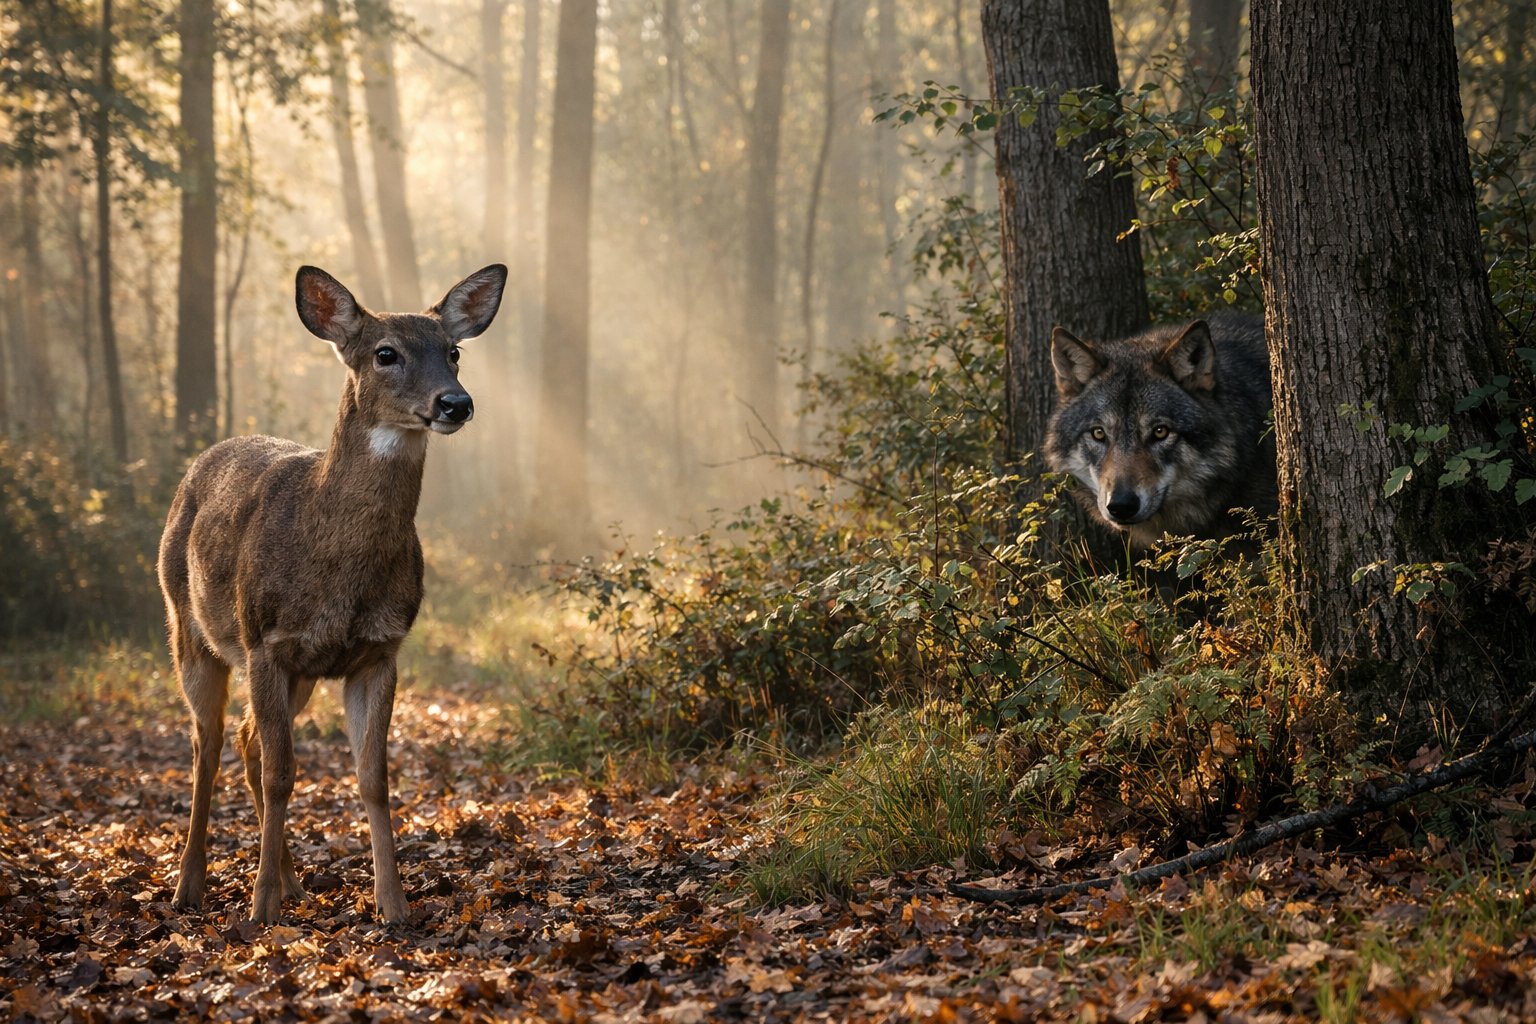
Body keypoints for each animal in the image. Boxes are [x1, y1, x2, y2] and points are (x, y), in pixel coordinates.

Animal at [158, 263, 506, 923]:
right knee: (206, 744)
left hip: (298, 676)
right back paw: (189, 887)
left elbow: (372, 777)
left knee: (246, 739)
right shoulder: (266, 641)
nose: (456, 401)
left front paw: (393, 905)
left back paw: (293, 881)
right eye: (385, 353)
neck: (338, 571)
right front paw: (260, 907)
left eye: (453, 352)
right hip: (191, 630)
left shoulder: (378, 651)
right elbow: (282, 775)